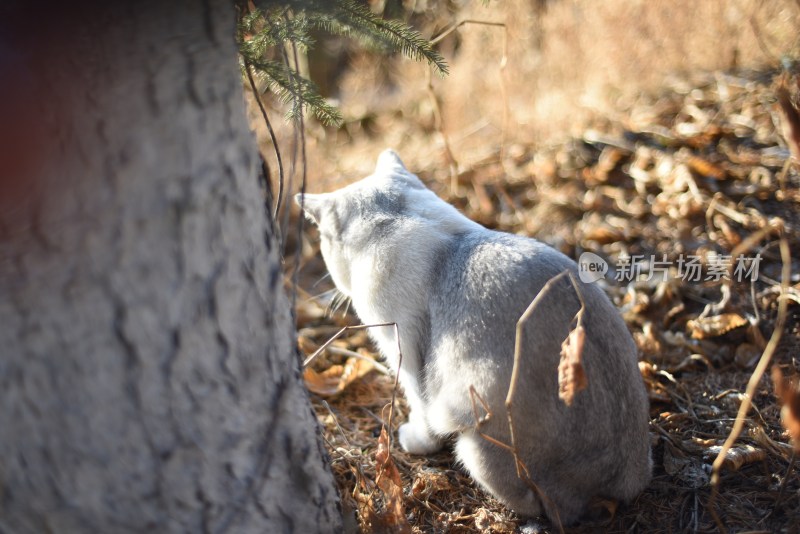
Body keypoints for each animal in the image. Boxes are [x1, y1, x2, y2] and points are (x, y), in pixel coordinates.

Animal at [296, 151, 652, 528]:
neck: (399, 217)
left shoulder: (402, 348)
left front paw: (415, 440)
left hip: (473, 435)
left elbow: (418, 403)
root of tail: (619, 486)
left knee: (538, 505)